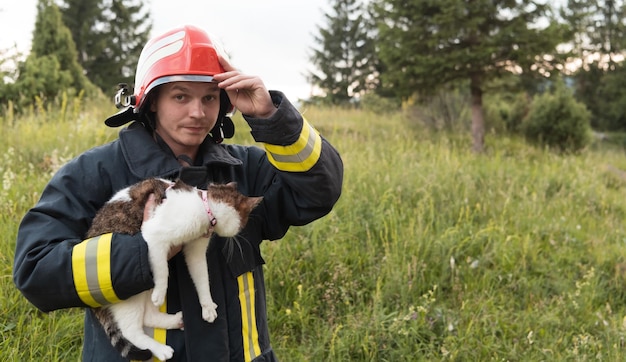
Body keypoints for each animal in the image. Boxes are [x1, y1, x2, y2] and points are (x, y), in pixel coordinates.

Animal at [84, 177, 260, 360]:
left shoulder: (195, 250)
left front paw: (207, 305)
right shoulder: (154, 236)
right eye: (244, 222)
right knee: (131, 331)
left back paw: (175, 321)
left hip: (144, 289)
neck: (204, 204)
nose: (239, 233)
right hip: (129, 295)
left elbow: (202, 278)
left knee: (148, 316)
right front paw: (161, 291)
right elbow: (162, 270)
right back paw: (160, 349)